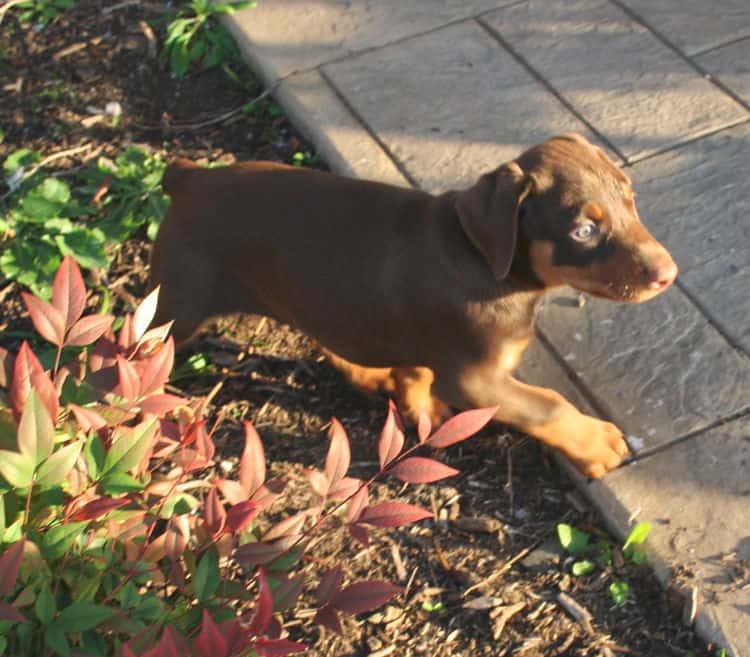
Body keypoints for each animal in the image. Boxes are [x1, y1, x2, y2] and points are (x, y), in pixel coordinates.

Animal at [153, 136, 680, 480]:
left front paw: (417, 404)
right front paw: (597, 444)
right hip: (176, 305)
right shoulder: (474, 378)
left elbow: (416, 371)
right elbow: (547, 405)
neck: (485, 260)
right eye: (583, 231)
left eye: (631, 200)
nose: (669, 273)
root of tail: (188, 177)